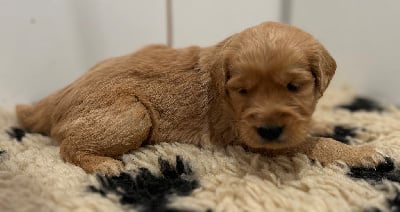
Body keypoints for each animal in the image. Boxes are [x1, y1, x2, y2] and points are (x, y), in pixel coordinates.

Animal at [16, 21, 384, 175]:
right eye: (243, 90)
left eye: (294, 87)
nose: (269, 130)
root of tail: (56, 96)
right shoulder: (248, 138)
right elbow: (312, 143)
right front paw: (359, 153)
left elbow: (309, 126)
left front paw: (335, 123)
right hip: (133, 114)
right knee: (67, 146)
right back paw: (104, 166)